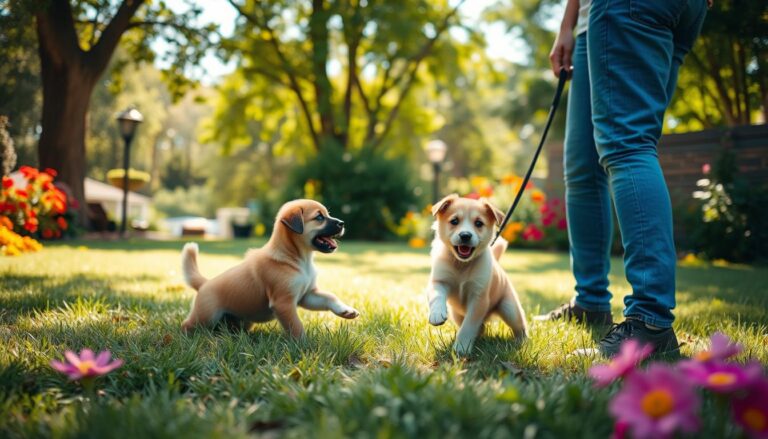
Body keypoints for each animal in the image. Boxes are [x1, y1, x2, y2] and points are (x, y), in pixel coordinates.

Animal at [181, 199, 360, 336]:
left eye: (326, 214)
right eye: (319, 217)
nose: (342, 223)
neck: (298, 259)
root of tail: (204, 283)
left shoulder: (308, 295)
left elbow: (329, 297)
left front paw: (346, 311)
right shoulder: (284, 302)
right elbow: (296, 326)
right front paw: (305, 345)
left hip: (240, 321)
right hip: (205, 316)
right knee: (187, 325)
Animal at [426, 194, 528, 356]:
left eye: (479, 223)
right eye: (454, 221)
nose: (465, 235)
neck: (462, 264)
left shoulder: (479, 297)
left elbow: (469, 325)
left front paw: (461, 347)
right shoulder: (439, 281)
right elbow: (436, 296)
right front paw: (436, 314)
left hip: (510, 309)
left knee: (520, 328)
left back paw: (522, 343)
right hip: (456, 314)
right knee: (480, 328)